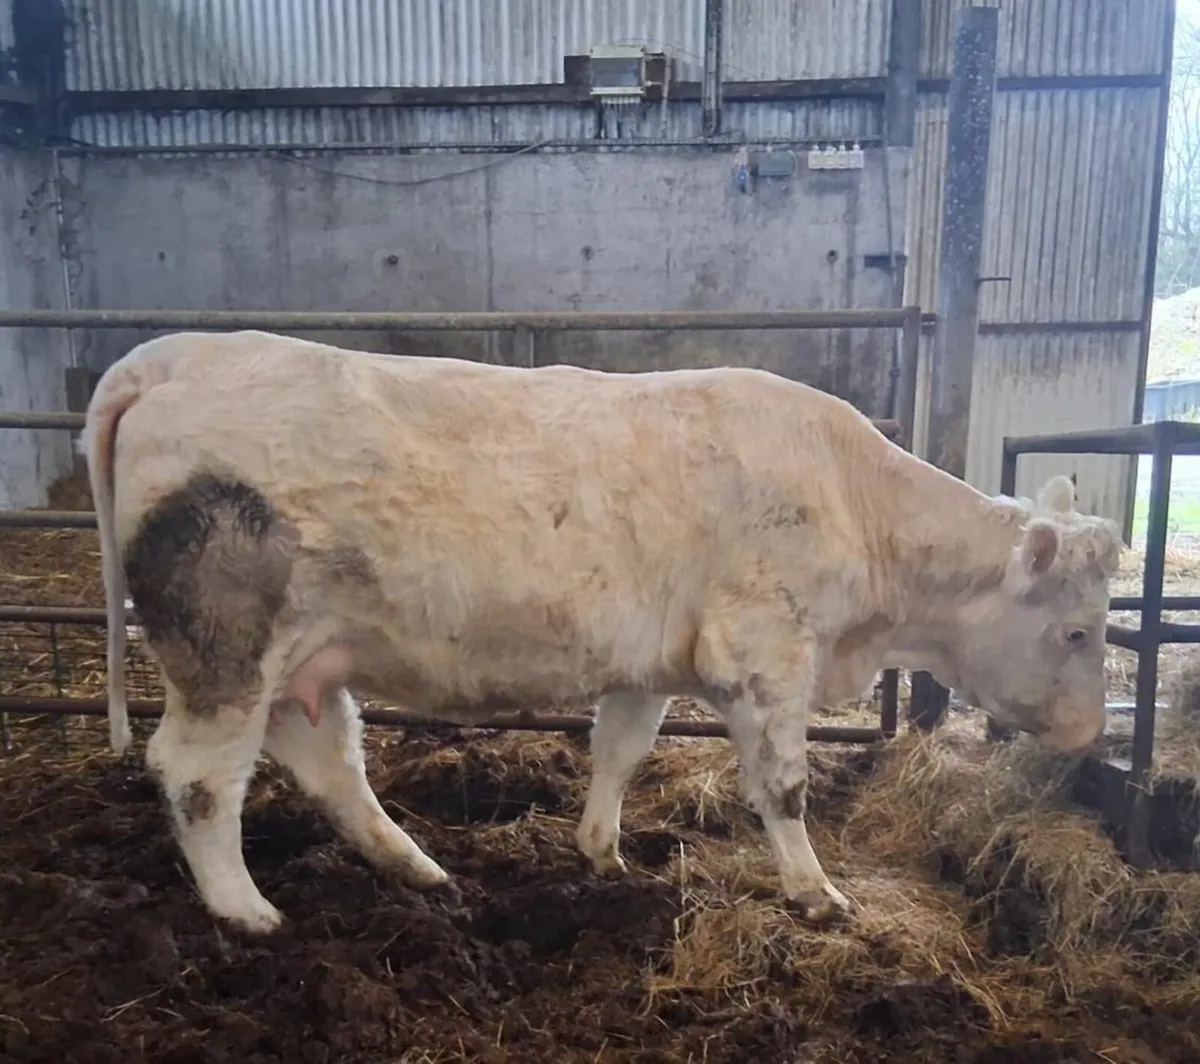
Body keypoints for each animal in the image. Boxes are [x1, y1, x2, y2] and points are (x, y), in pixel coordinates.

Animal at [82, 330, 1122, 935]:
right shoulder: (766, 649)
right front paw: (814, 892)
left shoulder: (652, 661)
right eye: (1077, 632)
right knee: (197, 773)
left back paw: (418, 870)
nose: (1088, 735)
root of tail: (173, 354)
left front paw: (601, 853)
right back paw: (246, 912)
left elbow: (619, 752)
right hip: (225, 643)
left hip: (308, 656)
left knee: (328, 760)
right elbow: (783, 786)